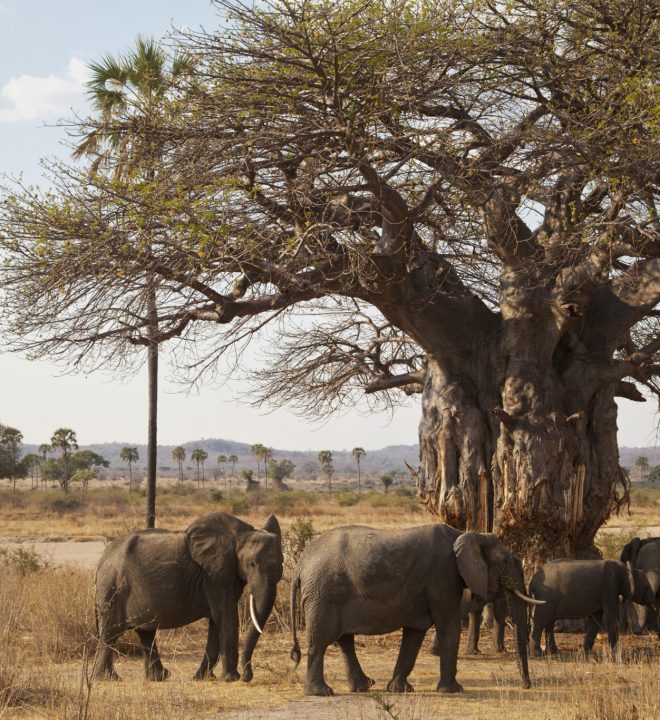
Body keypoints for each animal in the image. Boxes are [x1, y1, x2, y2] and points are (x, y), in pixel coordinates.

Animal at [94, 512, 283, 682]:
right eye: (252, 564)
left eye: (281, 563)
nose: (247, 676)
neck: (241, 535)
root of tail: (102, 559)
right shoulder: (214, 576)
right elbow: (226, 617)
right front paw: (231, 679)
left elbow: (217, 621)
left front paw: (203, 678)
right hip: (112, 587)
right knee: (111, 632)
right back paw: (108, 679)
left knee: (145, 632)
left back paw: (158, 678)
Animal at [289, 523, 541, 696]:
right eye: (506, 561)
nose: (526, 685)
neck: (467, 533)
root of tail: (300, 565)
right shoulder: (443, 575)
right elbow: (448, 626)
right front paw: (453, 690)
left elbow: (414, 634)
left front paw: (400, 689)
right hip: (323, 594)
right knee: (320, 642)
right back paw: (322, 693)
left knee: (344, 640)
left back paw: (363, 687)